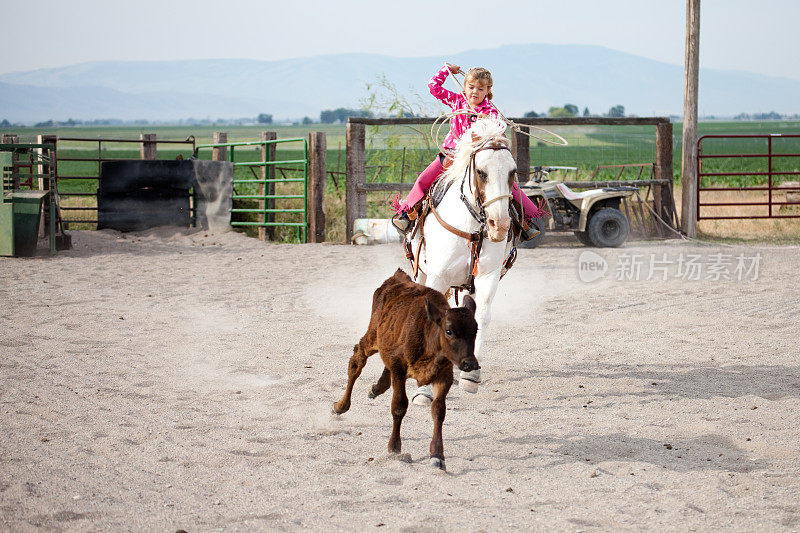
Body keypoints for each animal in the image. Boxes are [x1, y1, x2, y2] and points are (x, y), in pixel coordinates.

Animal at [332, 270, 478, 470]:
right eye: (449, 331)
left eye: (476, 330)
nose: (470, 364)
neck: (429, 336)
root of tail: (397, 278)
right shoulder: (399, 368)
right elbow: (399, 405)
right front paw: (394, 448)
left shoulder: (444, 375)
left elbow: (439, 410)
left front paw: (437, 455)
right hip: (372, 336)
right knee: (357, 361)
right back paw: (340, 406)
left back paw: (375, 389)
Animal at [410, 118, 516, 404]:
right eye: (481, 171)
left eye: (512, 172)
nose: (500, 225)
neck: (472, 226)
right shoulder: (437, 276)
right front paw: (423, 390)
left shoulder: (487, 275)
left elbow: (482, 315)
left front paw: (471, 376)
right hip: (422, 273)